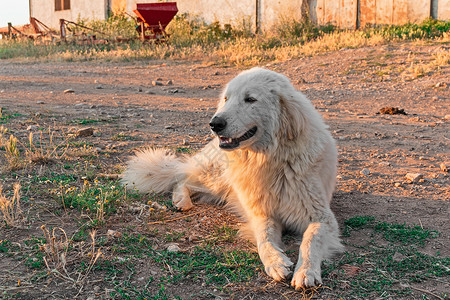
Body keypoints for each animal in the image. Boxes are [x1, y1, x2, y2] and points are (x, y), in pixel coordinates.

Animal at [121, 68, 342, 288]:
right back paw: (181, 201)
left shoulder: (321, 217)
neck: (269, 160)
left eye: (250, 99)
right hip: (217, 178)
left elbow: (311, 240)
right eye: (226, 99)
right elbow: (264, 239)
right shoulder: (262, 214)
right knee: (182, 178)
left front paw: (306, 271)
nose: (215, 123)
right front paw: (276, 263)